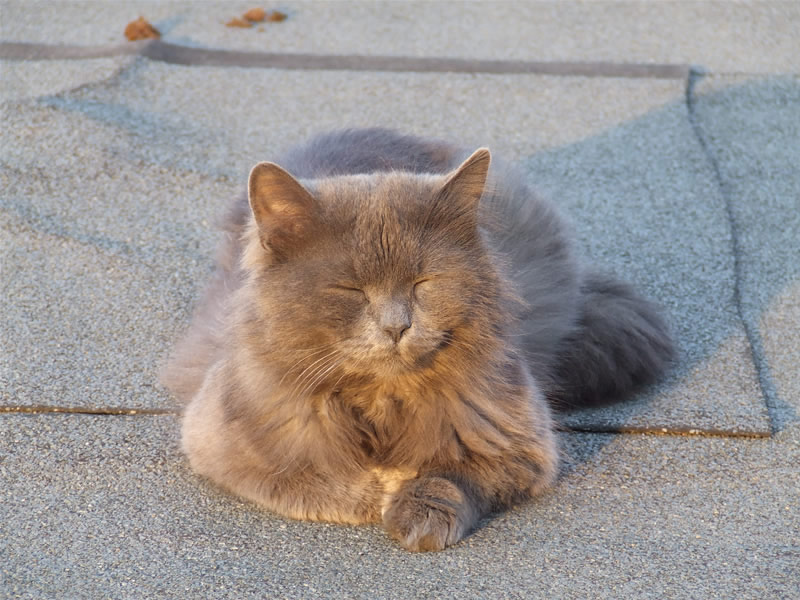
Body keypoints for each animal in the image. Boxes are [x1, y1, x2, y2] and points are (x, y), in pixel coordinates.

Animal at [162, 127, 676, 552]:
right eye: (349, 290)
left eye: (422, 284)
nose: (397, 326)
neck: (384, 400)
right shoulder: (224, 440)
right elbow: (311, 480)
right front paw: (379, 490)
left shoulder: (520, 443)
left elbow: (451, 477)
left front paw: (416, 510)